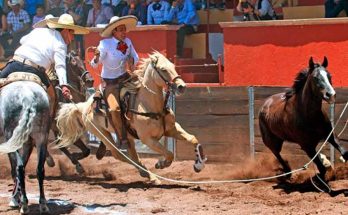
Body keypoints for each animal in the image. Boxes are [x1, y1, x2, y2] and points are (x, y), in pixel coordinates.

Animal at [0, 80, 50, 213]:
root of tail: (28, 98)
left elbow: (14, 170)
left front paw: (14, 199)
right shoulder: (28, 143)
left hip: (12, 137)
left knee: (19, 168)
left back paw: (24, 204)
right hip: (41, 139)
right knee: (39, 169)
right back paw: (43, 204)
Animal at [54, 51, 207, 184]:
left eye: (173, 67)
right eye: (163, 69)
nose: (181, 86)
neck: (150, 105)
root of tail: (84, 106)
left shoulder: (173, 129)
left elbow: (193, 139)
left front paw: (198, 165)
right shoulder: (148, 139)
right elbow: (169, 153)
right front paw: (161, 163)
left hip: (127, 136)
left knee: (132, 155)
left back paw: (147, 174)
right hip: (103, 134)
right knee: (120, 155)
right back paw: (149, 174)